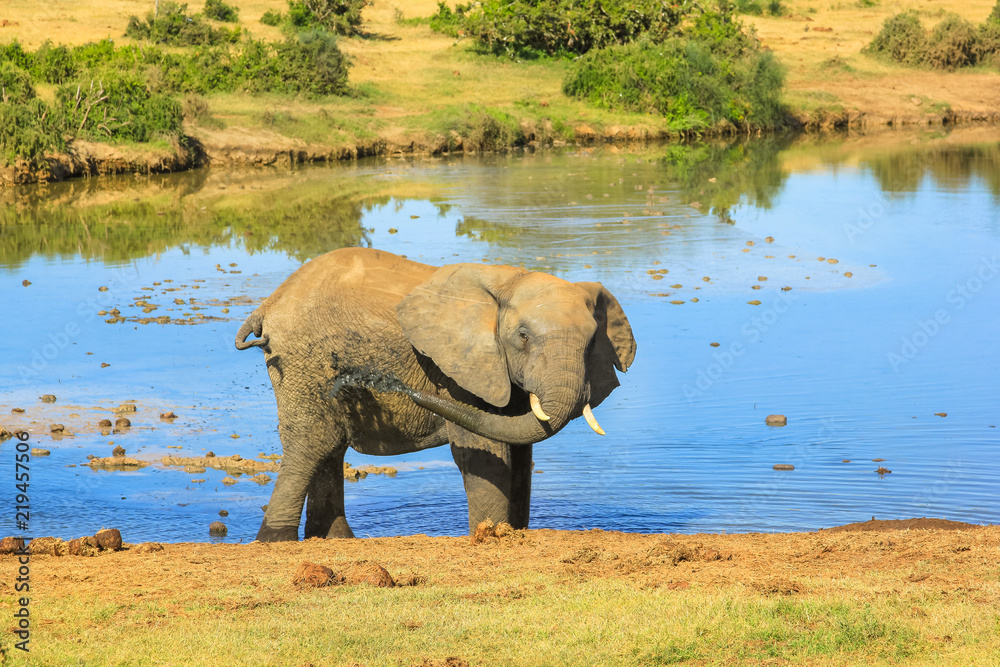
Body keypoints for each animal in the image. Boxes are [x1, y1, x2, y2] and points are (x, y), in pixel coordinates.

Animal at [235, 247, 635, 541]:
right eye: (523, 336)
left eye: (592, 342)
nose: (400, 387)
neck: (509, 281)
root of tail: (269, 303)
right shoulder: (459, 368)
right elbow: (482, 451)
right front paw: (490, 536)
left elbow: (521, 450)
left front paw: (512, 532)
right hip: (304, 359)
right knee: (314, 441)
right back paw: (275, 540)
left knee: (330, 444)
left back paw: (334, 539)